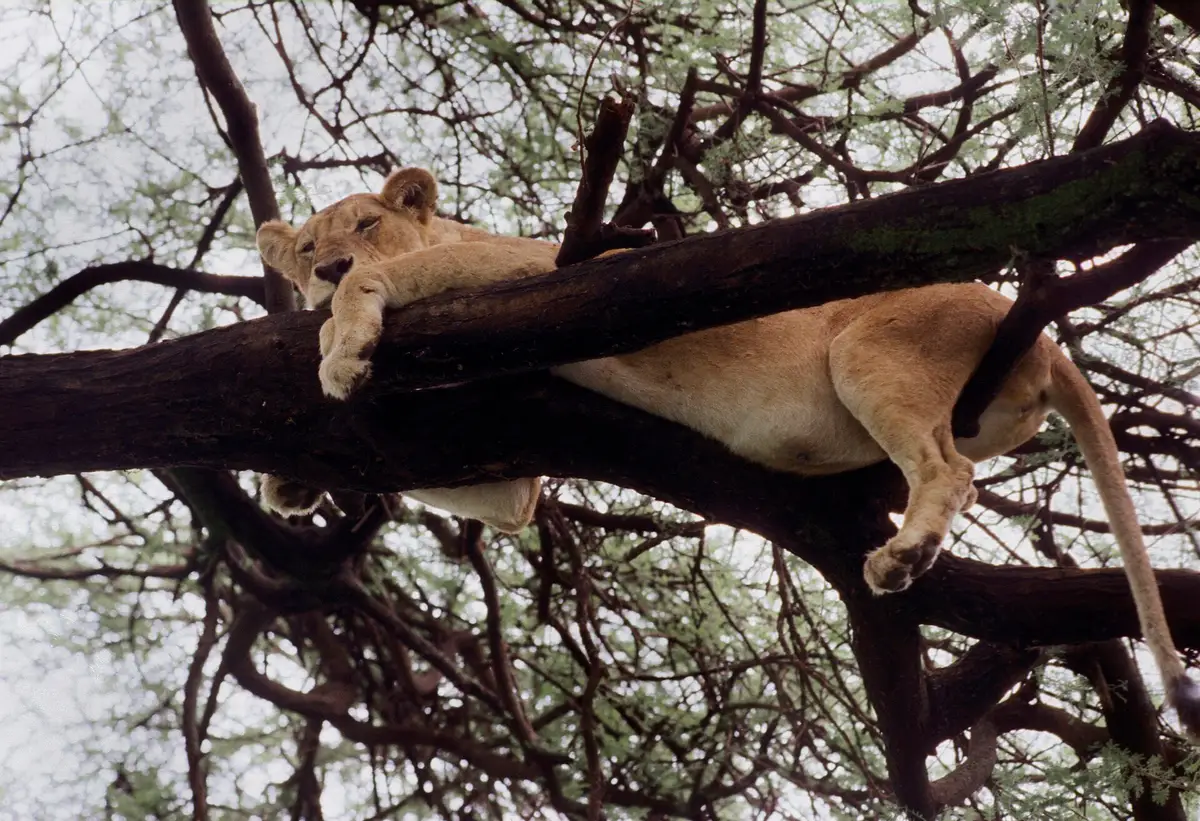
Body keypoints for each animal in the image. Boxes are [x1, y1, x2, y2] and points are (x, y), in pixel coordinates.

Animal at [256, 167, 1199, 735]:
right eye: (305, 246)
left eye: (365, 224)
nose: (325, 267)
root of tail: (1039, 337)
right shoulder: (508, 467)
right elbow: (491, 496)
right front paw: (287, 486)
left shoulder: (527, 272)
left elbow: (385, 288)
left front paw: (341, 348)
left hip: (871, 349)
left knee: (949, 468)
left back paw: (901, 557)